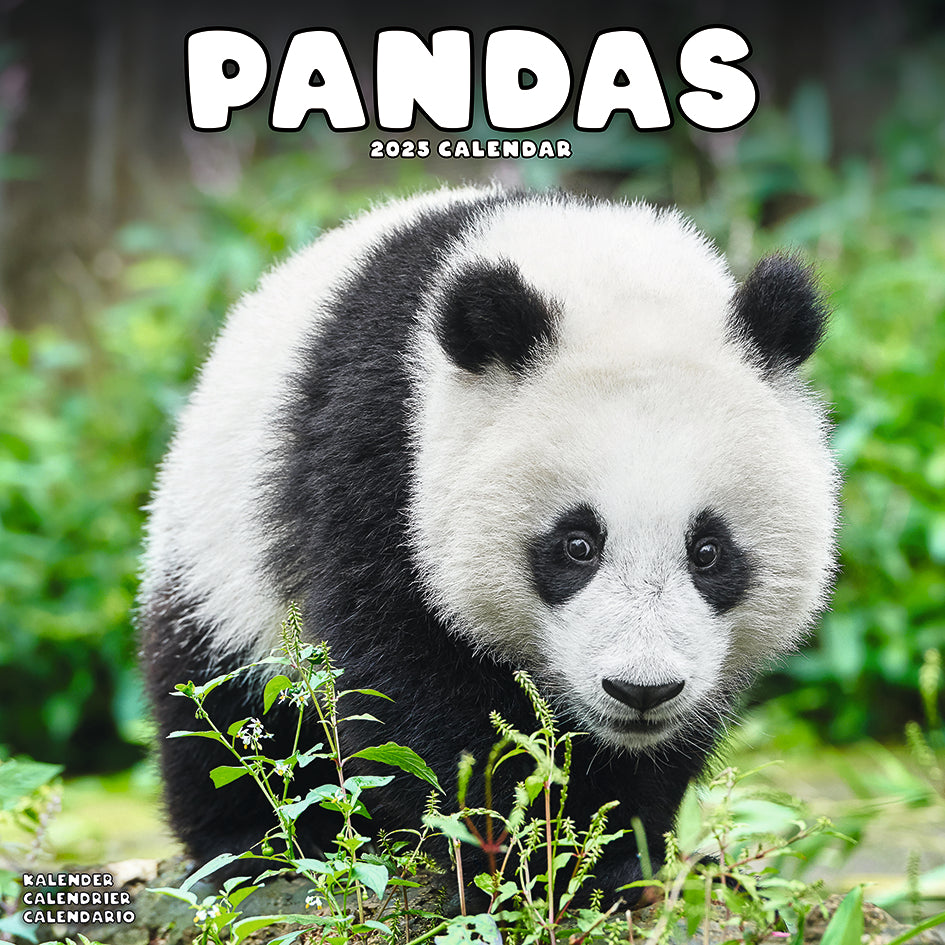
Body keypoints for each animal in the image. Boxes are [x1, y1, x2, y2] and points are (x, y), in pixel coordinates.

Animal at [139, 184, 838, 902]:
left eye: (708, 551)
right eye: (576, 545)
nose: (641, 690)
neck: (597, 269)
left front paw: (612, 853)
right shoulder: (382, 454)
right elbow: (406, 676)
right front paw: (525, 852)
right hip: (217, 545)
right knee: (217, 704)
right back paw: (254, 846)